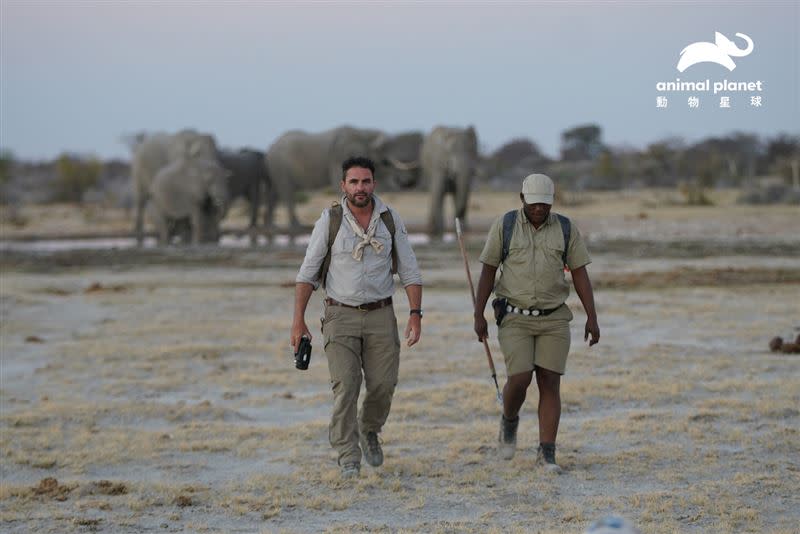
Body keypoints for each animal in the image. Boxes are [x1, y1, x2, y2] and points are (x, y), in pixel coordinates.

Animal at [266, 126, 422, 236]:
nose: (407, 182)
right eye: (385, 162)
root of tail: (271, 147)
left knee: (275, 194)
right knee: (286, 193)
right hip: (280, 167)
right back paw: (296, 226)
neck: (364, 133)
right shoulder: (338, 156)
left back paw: (272, 226)